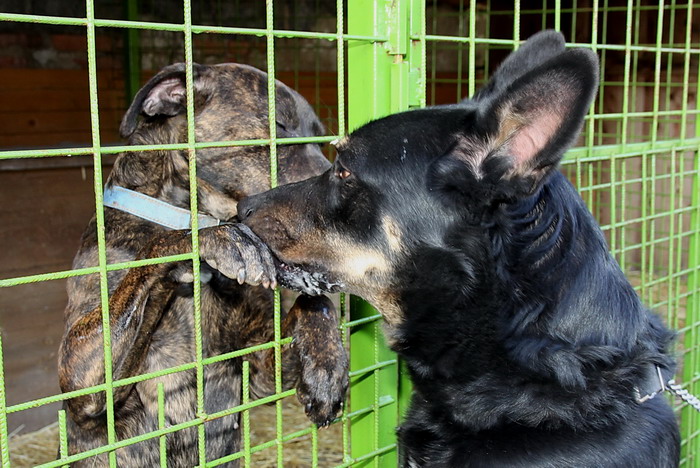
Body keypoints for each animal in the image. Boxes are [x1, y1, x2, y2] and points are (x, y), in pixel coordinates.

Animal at [59, 63, 348, 468]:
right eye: (279, 126)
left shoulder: (258, 373)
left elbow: (314, 303)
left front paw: (327, 369)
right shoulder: (80, 378)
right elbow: (162, 247)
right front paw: (221, 238)